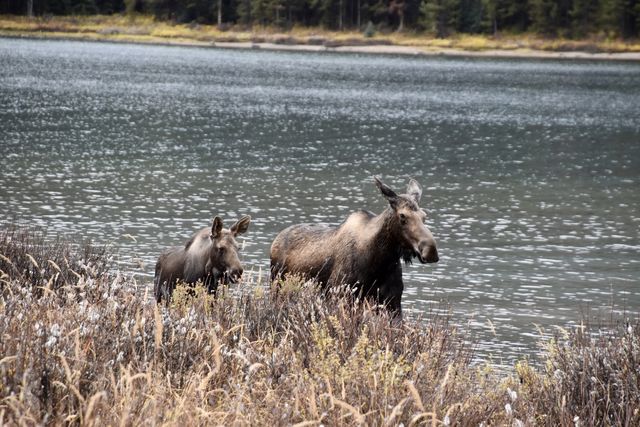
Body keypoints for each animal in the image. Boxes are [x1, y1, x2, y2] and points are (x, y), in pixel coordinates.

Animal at [270, 176, 440, 320]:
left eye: (424, 216)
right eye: (402, 216)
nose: (430, 250)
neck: (380, 260)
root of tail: (275, 241)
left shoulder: (393, 300)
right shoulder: (341, 294)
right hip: (276, 285)